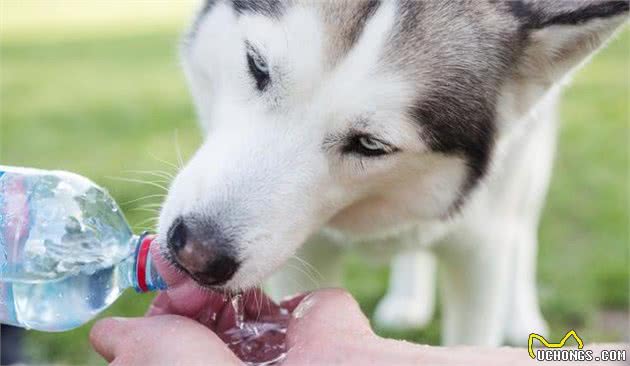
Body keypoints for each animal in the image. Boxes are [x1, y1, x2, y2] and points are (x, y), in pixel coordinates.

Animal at [159, 0, 630, 346]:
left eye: (371, 145)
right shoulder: (306, 253)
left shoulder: (480, 253)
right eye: (257, 65)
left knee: (524, 231)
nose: (195, 252)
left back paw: (522, 315)